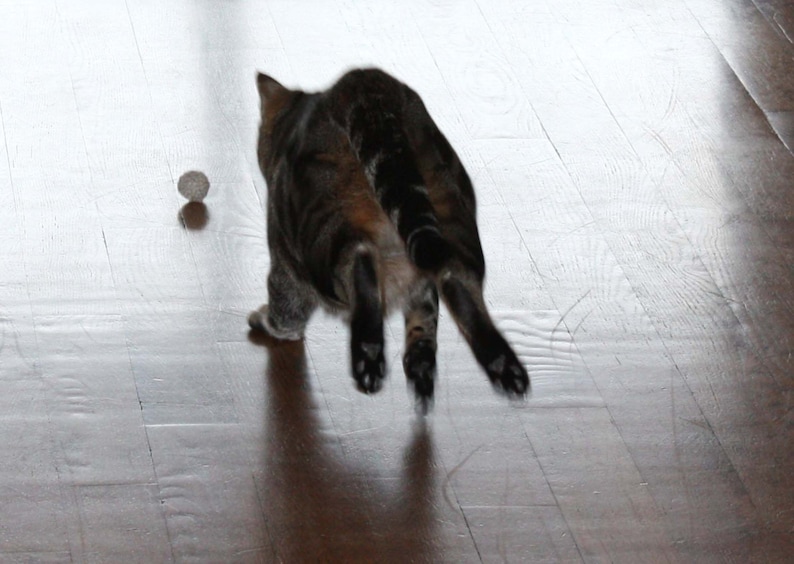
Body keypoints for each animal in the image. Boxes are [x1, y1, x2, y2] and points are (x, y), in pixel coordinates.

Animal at [251, 68, 528, 400]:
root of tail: (366, 85)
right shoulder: (421, 285)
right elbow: (424, 316)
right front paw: (420, 361)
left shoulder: (285, 262)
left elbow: (286, 309)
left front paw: (267, 322)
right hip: (453, 218)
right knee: (456, 279)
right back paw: (501, 364)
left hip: (321, 234)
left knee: (360, 262)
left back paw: (368, 354)